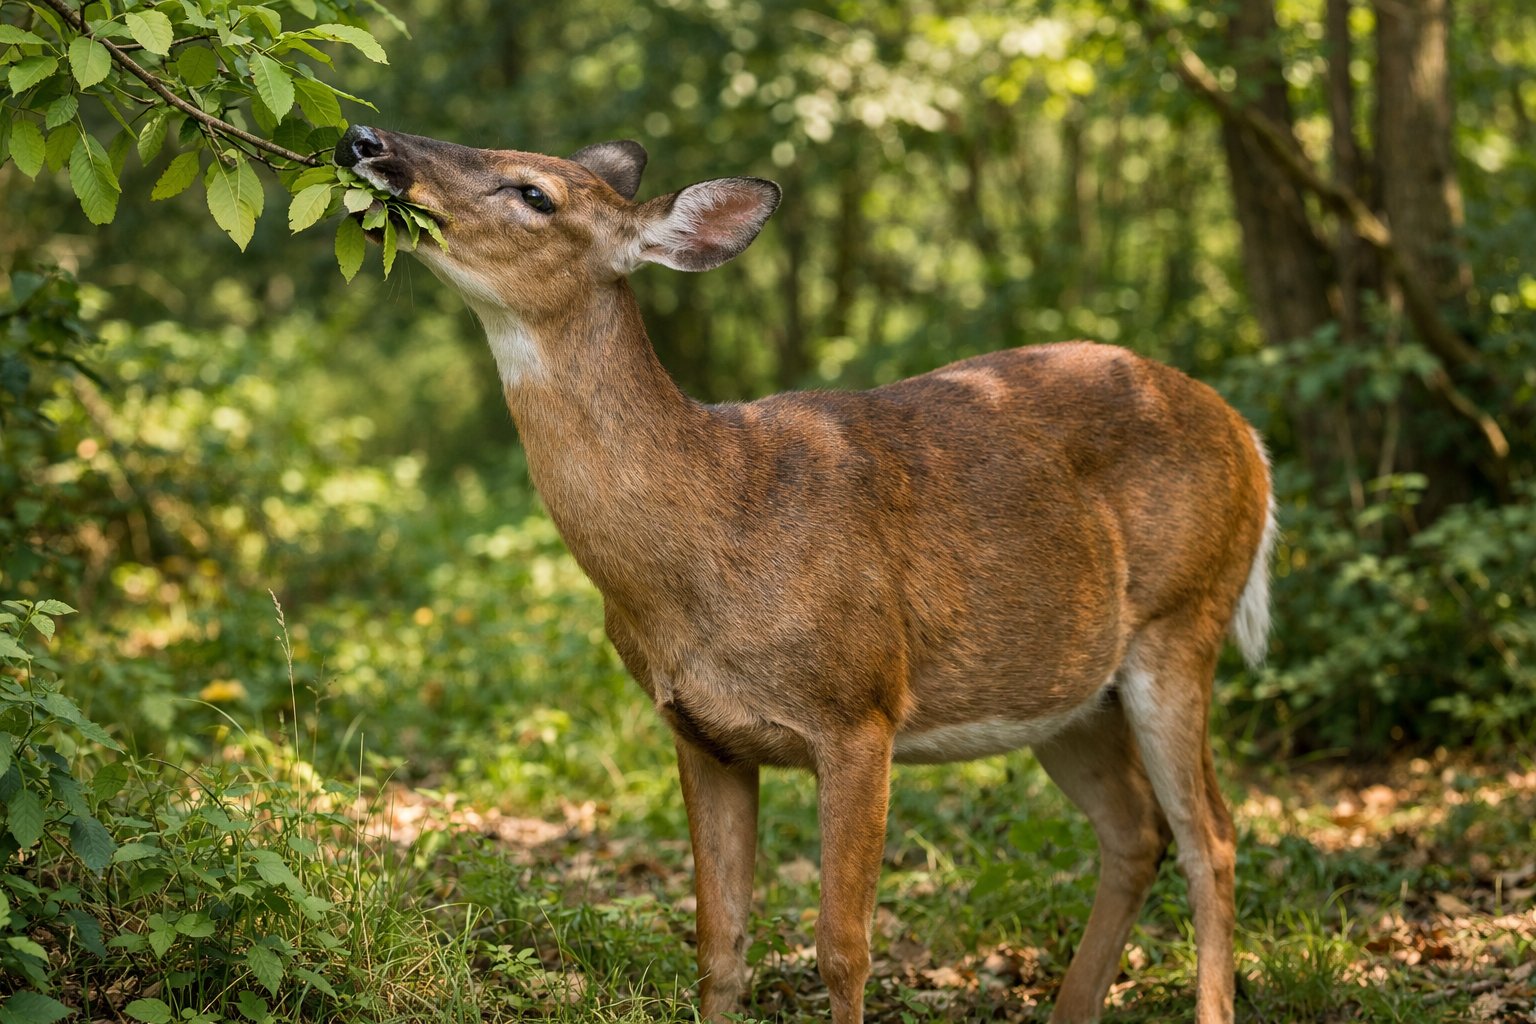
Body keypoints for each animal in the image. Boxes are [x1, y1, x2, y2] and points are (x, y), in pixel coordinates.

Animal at [335, 125, 1276, 1024]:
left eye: (535, 193)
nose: (365, 141)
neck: (710, 536)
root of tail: (1249, 437)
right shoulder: (697, 730)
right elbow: (718, 944)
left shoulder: (861, 708)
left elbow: (842, 948)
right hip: (1067, 691)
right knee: (1136, 831)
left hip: (1184, 623)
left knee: (1211, 834)